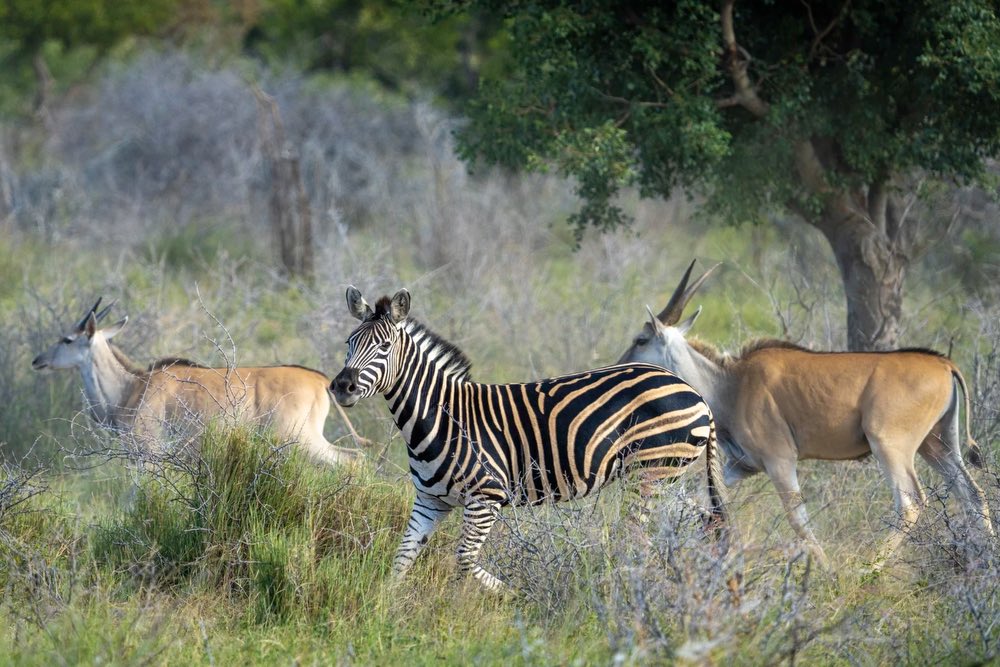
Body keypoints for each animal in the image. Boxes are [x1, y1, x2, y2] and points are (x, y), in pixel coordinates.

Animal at [34, 300, 364, 468]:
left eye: (67, 339)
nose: (38, 360)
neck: (132, 388)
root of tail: (320, 380)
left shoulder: (150, 452)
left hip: (299, 440)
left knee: (350, 461)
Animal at [330, 288, 728, 588]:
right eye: (349, 343)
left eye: (384, 348)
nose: (342, 386)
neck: (441, 417)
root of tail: (695, 393)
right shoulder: (430, 501)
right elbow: (402, 560)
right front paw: (383, 610)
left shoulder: (485, 498)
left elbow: (464, 562)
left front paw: (510, 598)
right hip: (665, 477)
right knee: (700, 522)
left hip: (649, 474)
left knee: (641, 541)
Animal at [620, 260, 996, 568]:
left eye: (640, 339)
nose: (622, 365)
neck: (731, 384)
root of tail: (943, 364)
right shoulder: (742, 466)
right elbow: (705, 505)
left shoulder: (780, 460)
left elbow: (797, 517)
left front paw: (826, 570)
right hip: (938, 446)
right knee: (973, 495)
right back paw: (987, 562)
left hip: (891, 446)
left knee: (911, 503)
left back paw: (868, 569)